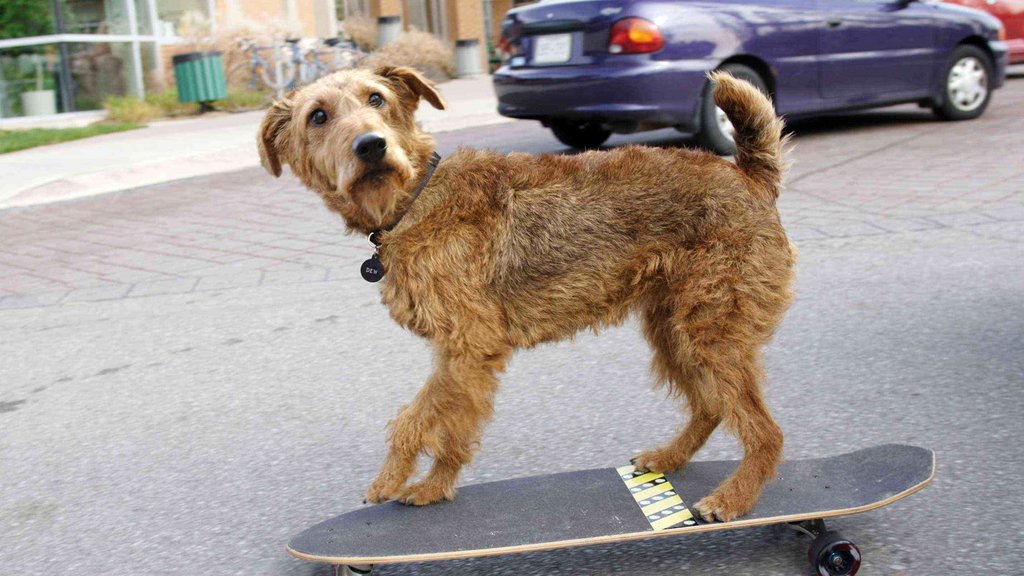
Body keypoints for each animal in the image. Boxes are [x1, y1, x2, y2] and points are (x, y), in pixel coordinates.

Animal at [260, 65, 794, 518]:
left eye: (377, 98)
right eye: (318, 116)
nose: (371, 145)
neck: (416, 199)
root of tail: (748, 174)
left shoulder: (469, 347)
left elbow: (418, 418)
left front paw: (393, 480)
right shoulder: (460, 357)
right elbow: (453, 426)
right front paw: (434, 488)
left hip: (712, 329)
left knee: (765, 431)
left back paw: (731, 499)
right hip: (674, 330)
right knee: (710, 407)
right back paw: (668, 458)